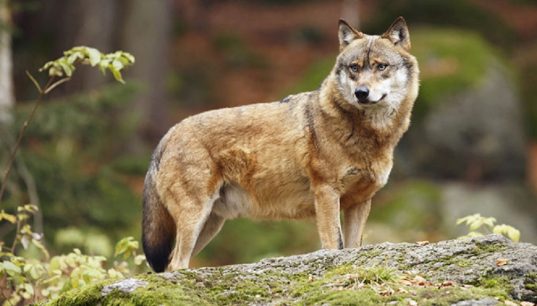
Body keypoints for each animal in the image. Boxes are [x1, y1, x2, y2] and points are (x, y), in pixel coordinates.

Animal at [142, 16, 418, 272]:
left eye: (381, 66)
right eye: (354, 68)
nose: (361, 93)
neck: (368, 134)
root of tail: (168, 134)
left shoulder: (360, 202)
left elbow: (352, 249)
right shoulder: (326, 193)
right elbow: (333, 246)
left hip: (210, 224)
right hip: (196, 218)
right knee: (175, 264)